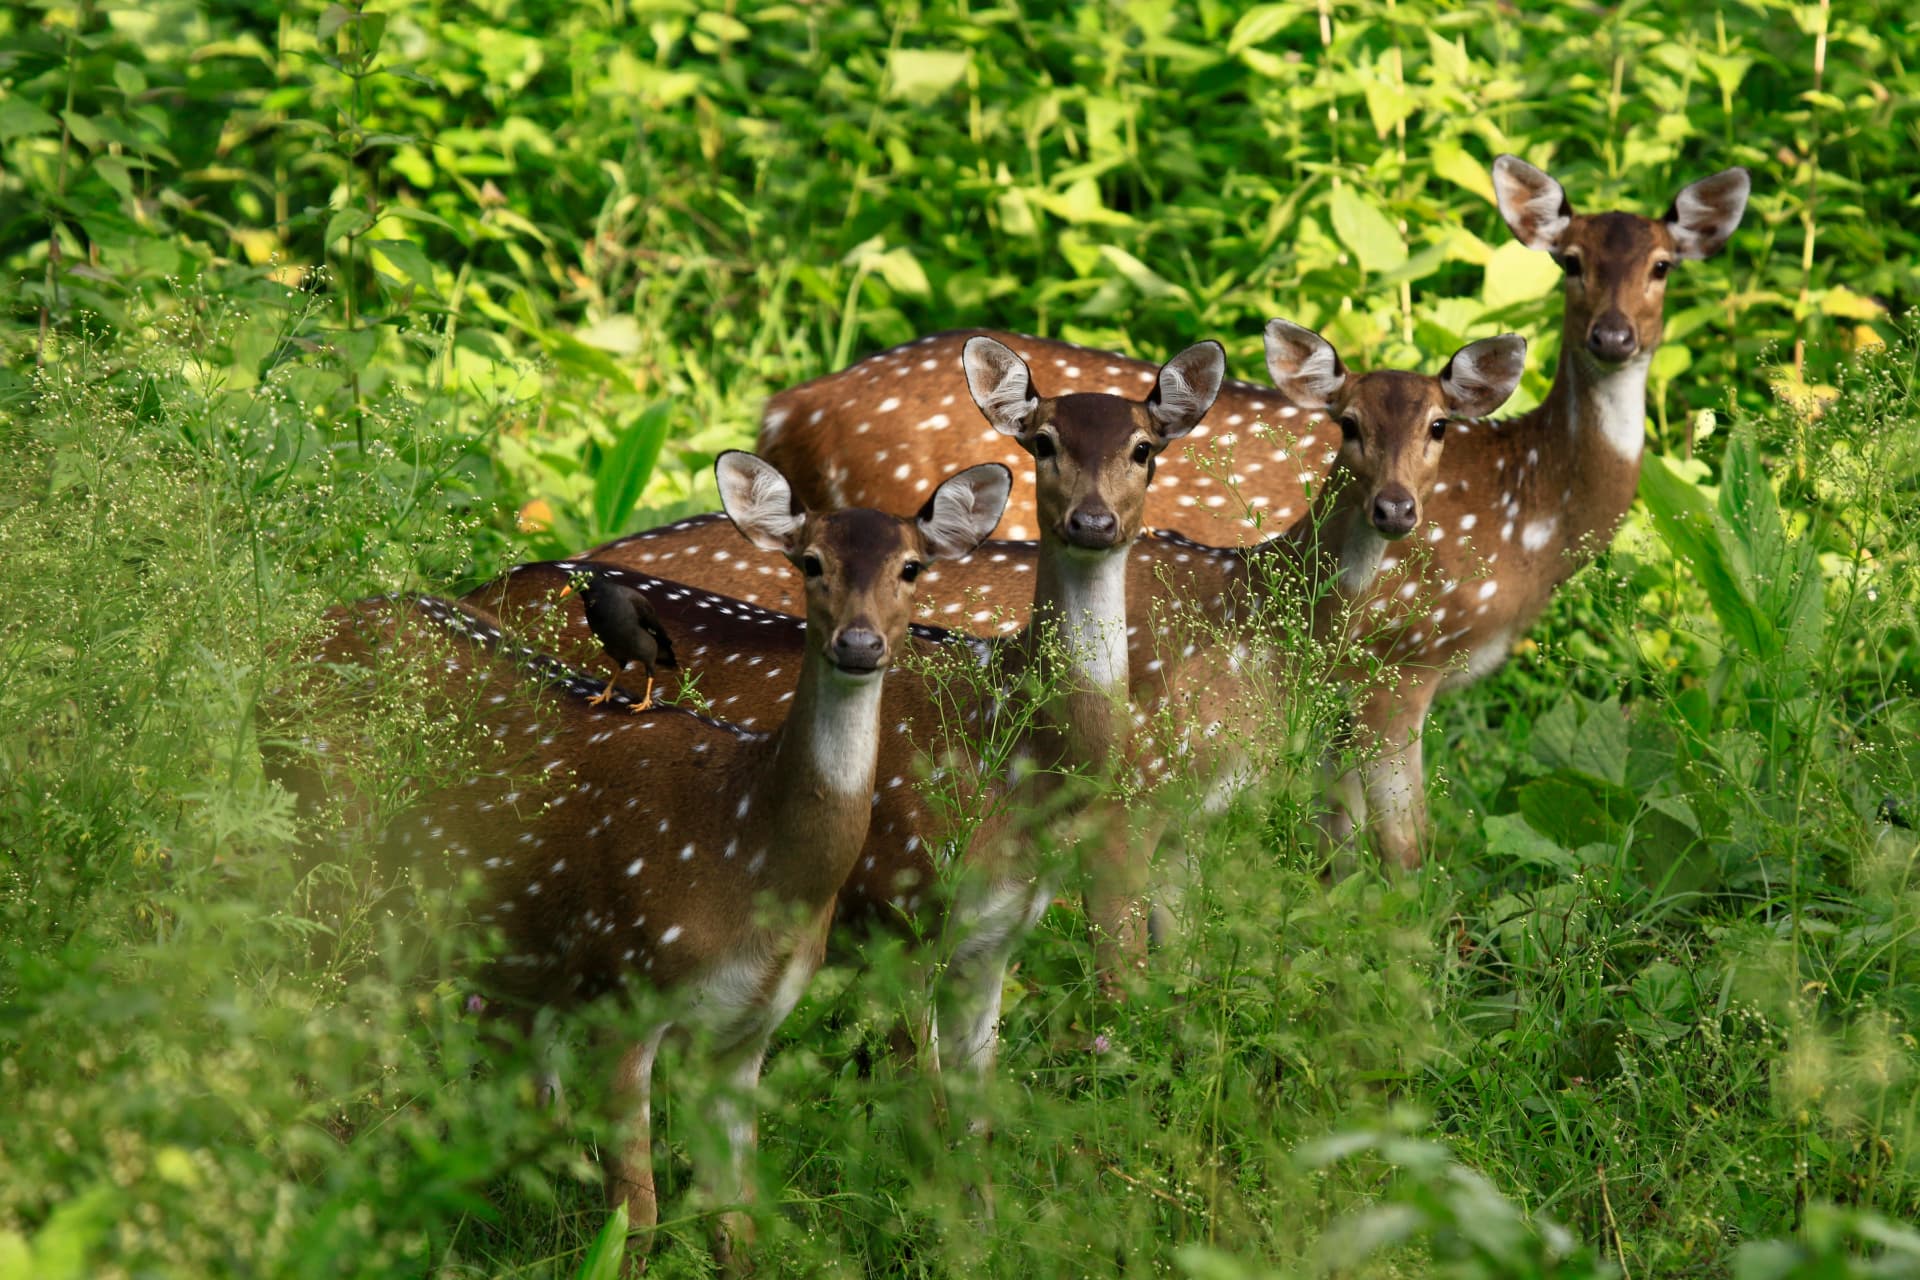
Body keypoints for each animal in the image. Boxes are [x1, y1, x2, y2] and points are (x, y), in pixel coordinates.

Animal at [283, 452, 1010, 1272]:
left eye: (912, 567)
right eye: (810, 562)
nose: (859, 644)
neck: (746, 843)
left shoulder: (746, 1031)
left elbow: (735, 1220)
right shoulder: (622, 990)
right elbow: (638, 1218)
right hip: (322, 866)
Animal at [463, 337, 1227, 1072]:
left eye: (1144, 447)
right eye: (1042, 441)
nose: (1092, 521)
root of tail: (474, 590)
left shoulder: (996, 936)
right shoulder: (902, 912)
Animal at [606, 157, 1749, 868]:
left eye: (1662, 264)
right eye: (1567, 259)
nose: (1612, 336)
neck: (1529, 513)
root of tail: (785, 407)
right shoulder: (1396, 662)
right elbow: (1399, 849)